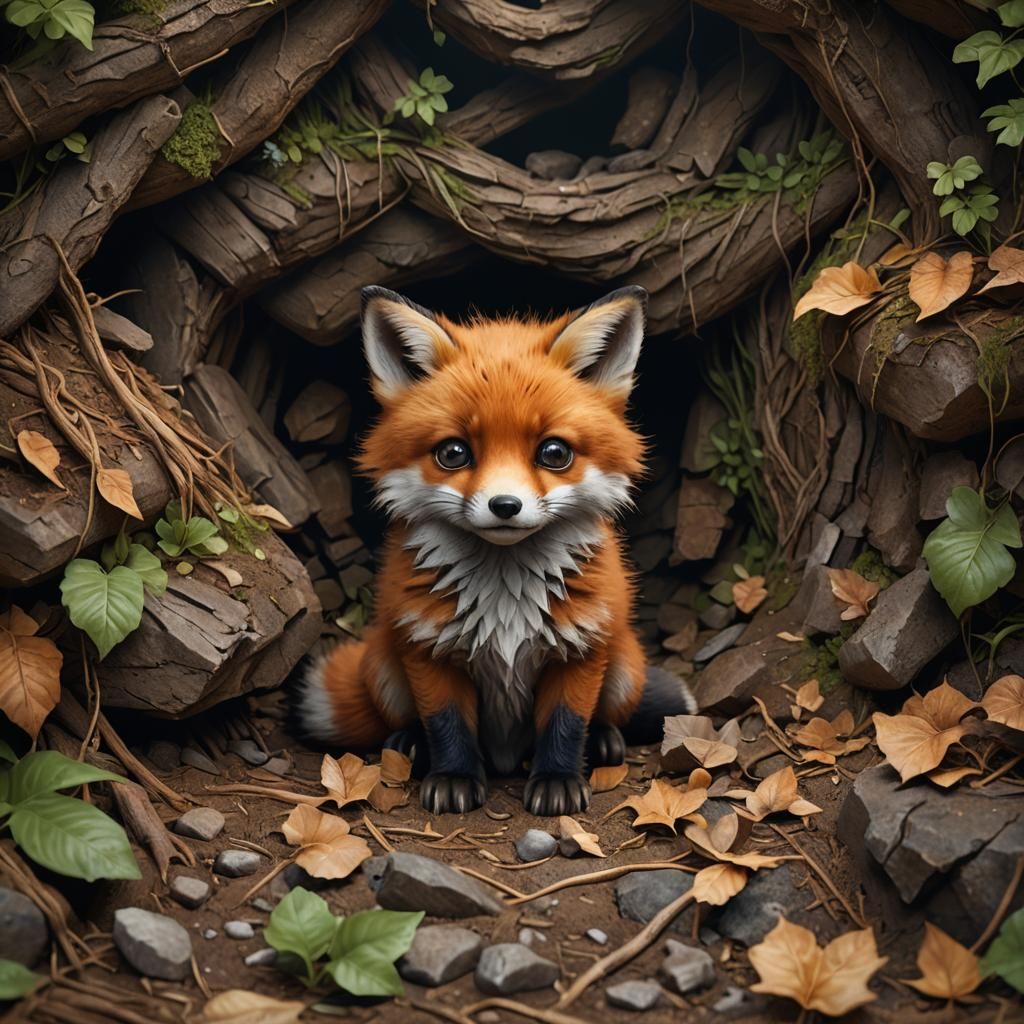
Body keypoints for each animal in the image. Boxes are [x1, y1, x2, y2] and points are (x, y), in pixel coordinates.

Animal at [293, 284, 696, 816]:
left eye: (554, 452)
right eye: (453, 453)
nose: (505, 505)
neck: (506, 601)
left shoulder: (582, 647)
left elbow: (566, 723)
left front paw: (558, 781)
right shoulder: (427, 647)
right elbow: (447, 724)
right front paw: (454, 777)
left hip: (624, 665)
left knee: (607, 715)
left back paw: (604, 741)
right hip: (384, 667)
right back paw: (408, 745)